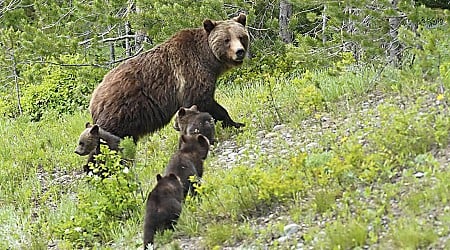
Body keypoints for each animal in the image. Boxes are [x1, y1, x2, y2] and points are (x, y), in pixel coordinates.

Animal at [88, 13, 250, 143]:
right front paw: (234, 123)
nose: (239, 52)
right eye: (226, 40)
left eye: (241, 37)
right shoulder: (191, 74)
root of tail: (94, 98)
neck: (209, 60)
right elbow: (203, 101)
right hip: (121, 111)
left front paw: (237, 123)